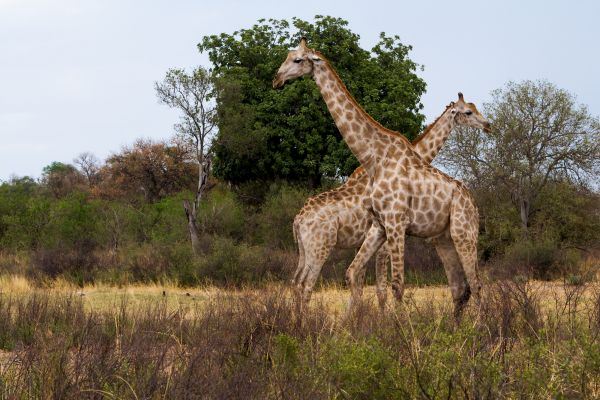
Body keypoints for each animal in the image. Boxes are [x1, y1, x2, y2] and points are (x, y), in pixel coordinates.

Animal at [274, 39, 490, 318]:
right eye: (468, 112)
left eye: (297, 59)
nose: (277, 79)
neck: (377, 156)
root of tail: (297, 220)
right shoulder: (384, 226)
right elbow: (370, 281)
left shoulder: (392, 225)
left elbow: (380, 284)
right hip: (321, 247)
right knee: (303, 283)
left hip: (462, 232)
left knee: (473, 283)